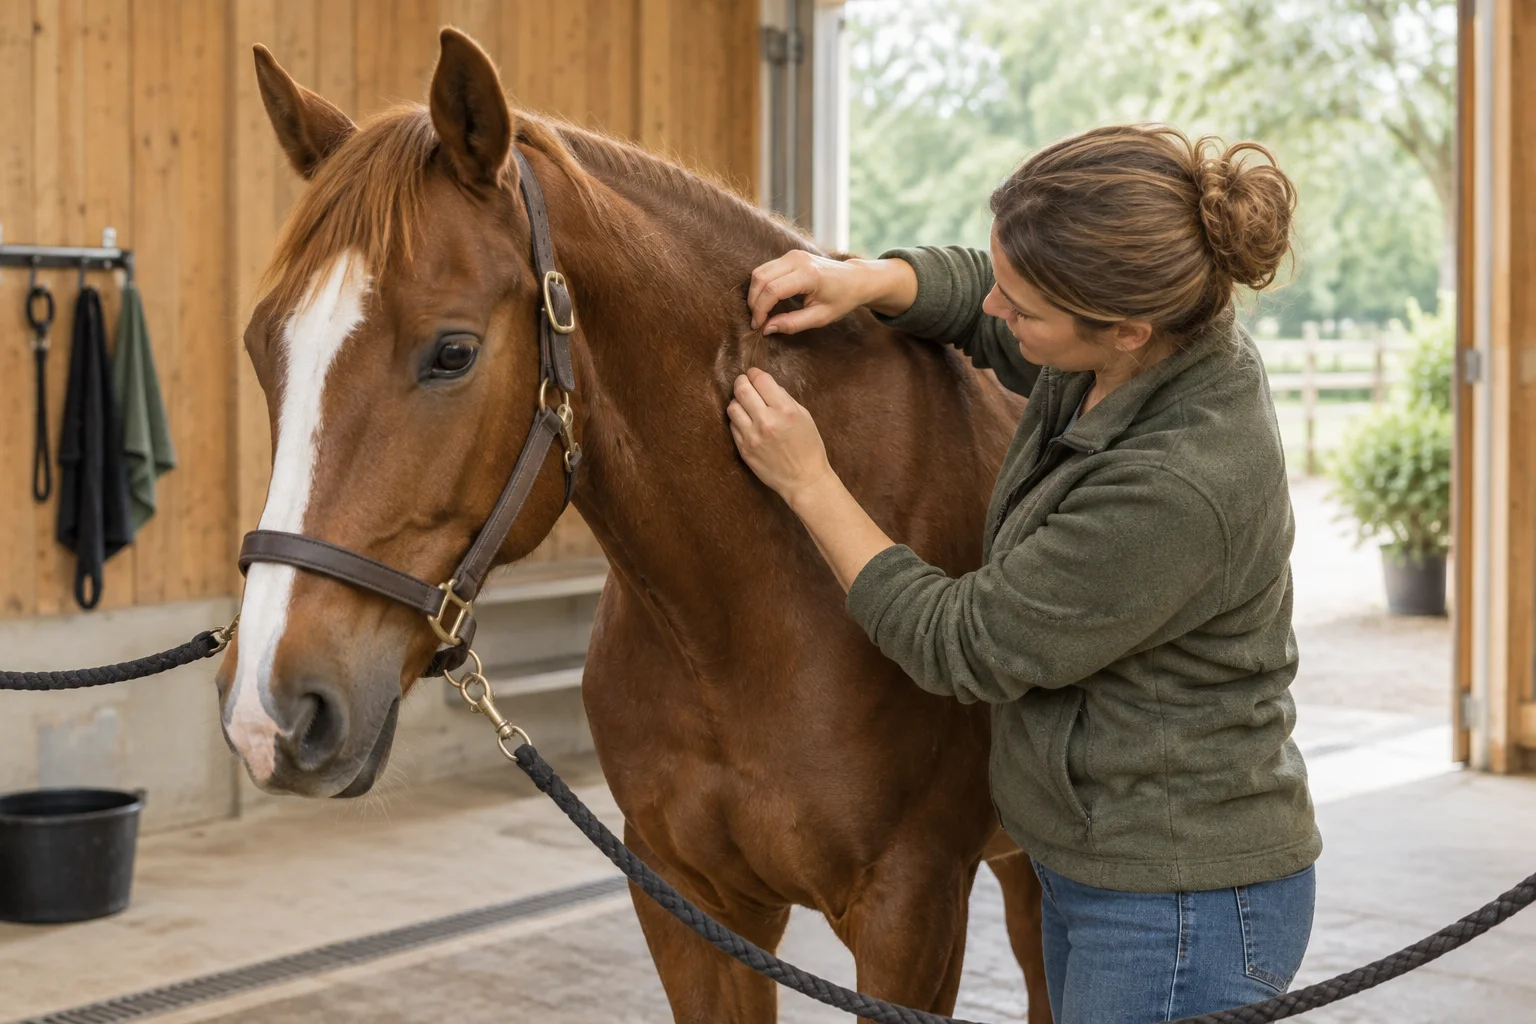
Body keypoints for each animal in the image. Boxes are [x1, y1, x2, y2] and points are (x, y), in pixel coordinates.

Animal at [218, 27, 1050, 1024]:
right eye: (261, 347)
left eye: (452, 352)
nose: (268, 708)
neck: (756, 617)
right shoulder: (690, 907)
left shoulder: (910, 916)